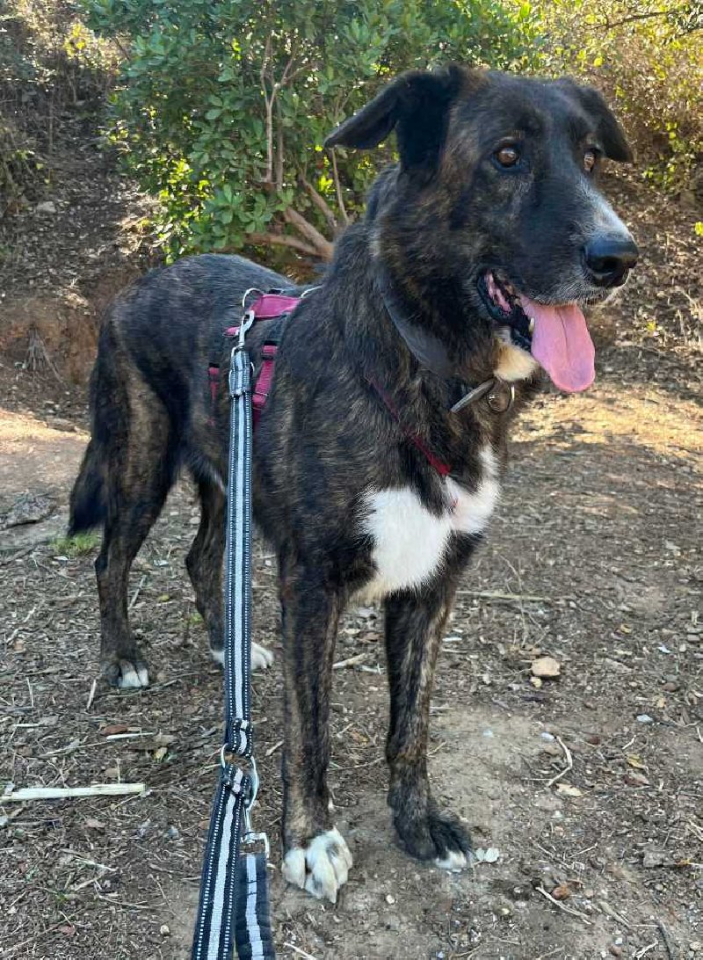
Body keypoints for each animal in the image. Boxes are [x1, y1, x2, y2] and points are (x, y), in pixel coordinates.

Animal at [69, 64, 638, 903]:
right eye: (506, 155)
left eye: (591, 158)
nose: (619, 257)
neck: (424, 370)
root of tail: (141, 281)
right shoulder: (311, 587)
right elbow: (311, 730)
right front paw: (309, 838)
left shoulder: (432, 591)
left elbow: (412, 727)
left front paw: (420, 824)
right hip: (139, 461)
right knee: (112, 560)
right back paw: (123, 658)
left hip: (231, 479)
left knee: (201, 558)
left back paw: (225, 647)